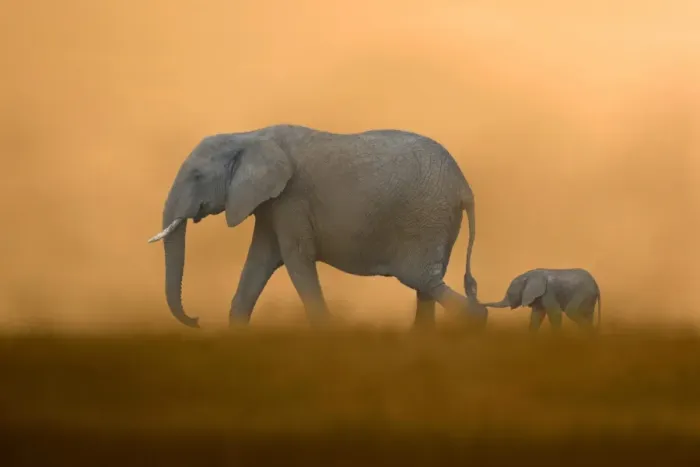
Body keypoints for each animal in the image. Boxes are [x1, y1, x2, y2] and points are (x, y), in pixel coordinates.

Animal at [147, 124, 487, 329]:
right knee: (426, 287)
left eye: (197, 176)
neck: (250, 136)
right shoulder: (271, 205)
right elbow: (260, 260)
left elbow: (296, 259)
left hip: (426, 219)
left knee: (422, 280)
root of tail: (466, 188)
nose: (197, 319)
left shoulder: (291, 198)